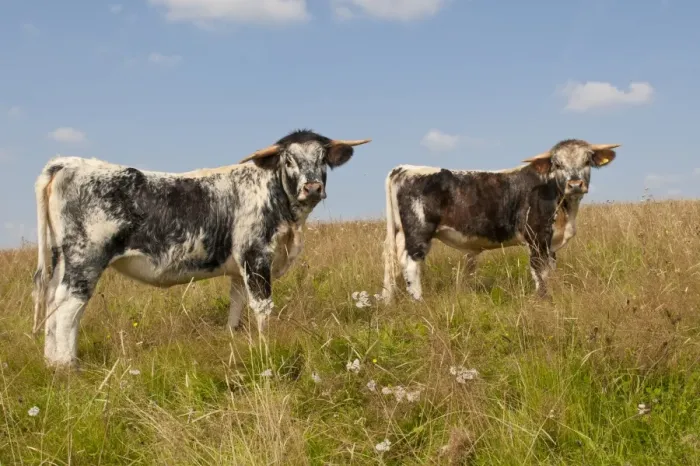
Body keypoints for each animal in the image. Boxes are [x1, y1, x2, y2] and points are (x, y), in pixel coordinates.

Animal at [31, 129, 371, 368]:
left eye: (323, 158)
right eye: (289, 160)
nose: (312, 187)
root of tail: (69, 162)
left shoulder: (239, 268)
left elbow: (237, 304)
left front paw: (234, 338)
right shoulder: (256, 255)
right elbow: (263, 306)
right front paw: (267, 345)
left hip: (61, 260)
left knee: (51, 302)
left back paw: (50, 362)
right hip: (84, 259)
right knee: (68, 307)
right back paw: (67, 366)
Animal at [380, 139, 620, 302]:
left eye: (587, 160)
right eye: (557, 164)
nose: (575, 184)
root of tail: (404, 168)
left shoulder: (550, 244)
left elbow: (550, 270)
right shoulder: (536, 237)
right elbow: (539, 271)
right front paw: (542, 299)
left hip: (401, 233)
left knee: (394, 262)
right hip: (419, 231)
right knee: (411, 264)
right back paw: (419, 301)